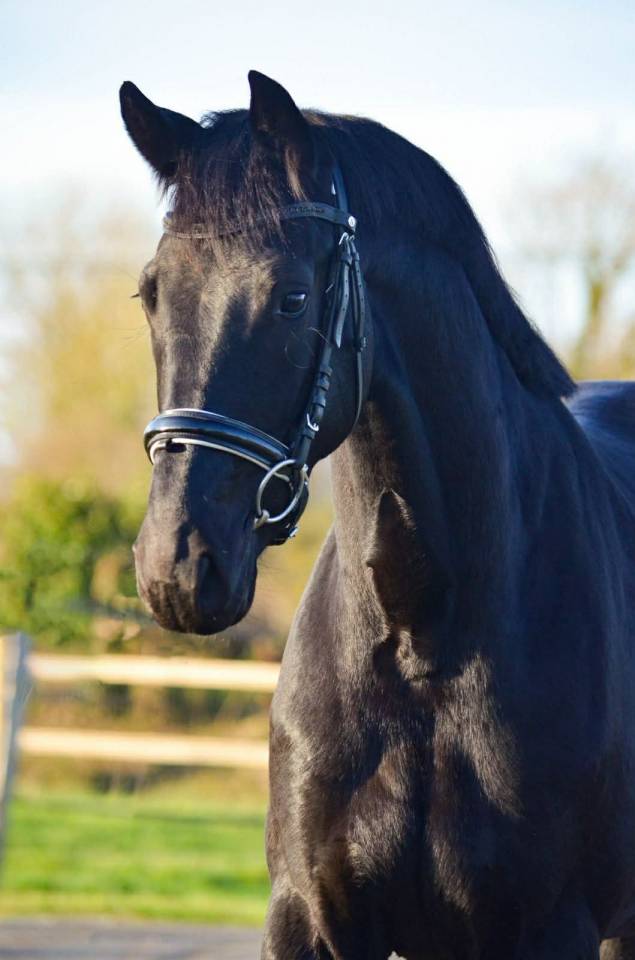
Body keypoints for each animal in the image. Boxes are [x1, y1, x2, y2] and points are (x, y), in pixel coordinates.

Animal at [121, 71, 635, 959]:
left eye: (292, 297)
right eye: (152, 292)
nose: (177, 567)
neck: (422, 630)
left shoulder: (551, 925)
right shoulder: (312, 917)